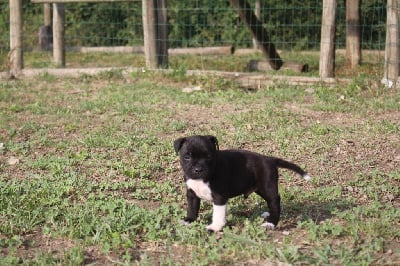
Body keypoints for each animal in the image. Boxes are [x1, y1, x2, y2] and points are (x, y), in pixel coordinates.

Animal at [173, 135, 310, 231]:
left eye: (208, 157)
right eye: (187, 157)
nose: (198, 169)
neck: (202, 179)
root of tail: (270, 159)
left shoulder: (219, 197)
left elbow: (218, 213)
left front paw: (215, 227)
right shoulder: (192, 194)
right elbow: (192, 208)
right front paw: (189, 220)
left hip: (268, 187)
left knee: (275, 201)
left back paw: (271, 223)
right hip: (261, 189)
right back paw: (268, 214)